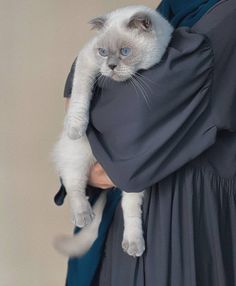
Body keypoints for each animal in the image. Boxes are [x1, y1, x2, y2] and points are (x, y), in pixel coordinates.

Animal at [52, 5, 172, 258]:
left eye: (125, 51)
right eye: (103, 52)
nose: (111, 67)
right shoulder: (86, 61)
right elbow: (80, 94)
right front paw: (76, 126)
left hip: (134, 175)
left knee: (129, 207)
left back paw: (133, 244)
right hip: (78, 153)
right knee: (74, 183)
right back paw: (83, 216)